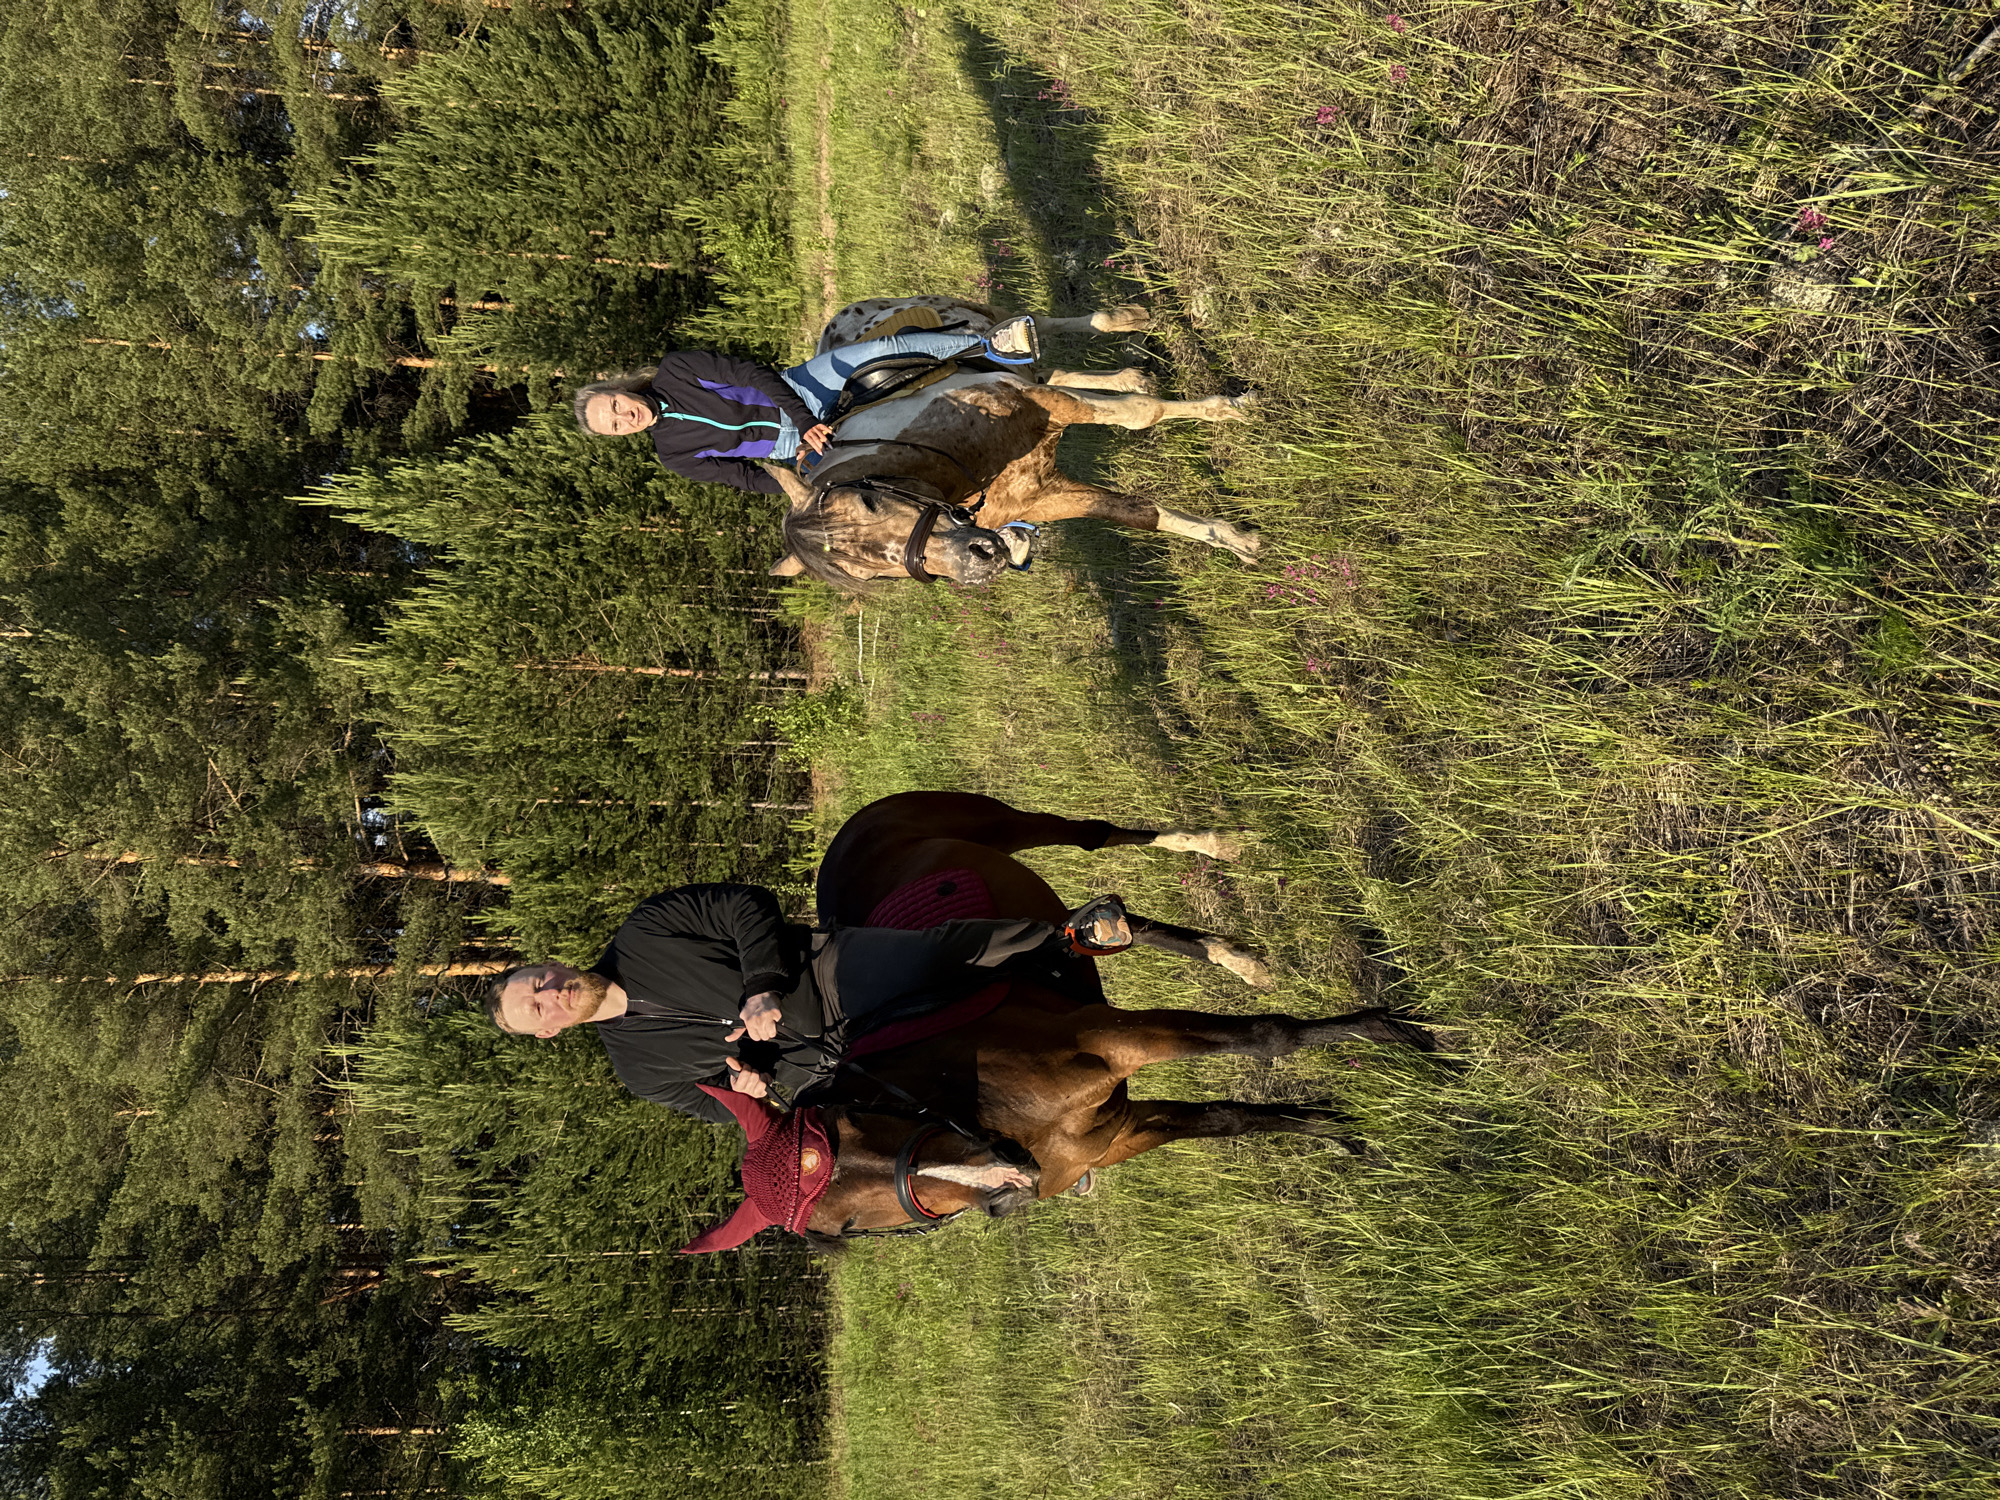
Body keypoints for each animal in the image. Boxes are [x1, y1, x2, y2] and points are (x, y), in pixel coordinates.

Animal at [681, 792, 1437, 1250]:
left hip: (1005, 823)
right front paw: (1334, 1128)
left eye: (853, 1126)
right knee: (1121, 926)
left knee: (1095, 839)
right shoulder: (1120, 1130)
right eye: (845, 1222)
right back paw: (1222, 954)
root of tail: (851, 828)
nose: (1007, 1181)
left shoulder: (1118, 1039)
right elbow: (1232, 1118)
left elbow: (1265, 1038)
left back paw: (1215, 847)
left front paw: (1394, 1034)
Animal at [765, 298, 1262, 588]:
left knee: (1044, 325)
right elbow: (1140, 513)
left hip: (986, 321)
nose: (978, 561)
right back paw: (1128, 375)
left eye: (868, 503)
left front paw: (1233, 408)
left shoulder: (1044, 403)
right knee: (1053, 369)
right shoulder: (1047, 496)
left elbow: (1141, 414)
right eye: (864, 572)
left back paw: (1130, 320)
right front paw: (1236, 540)